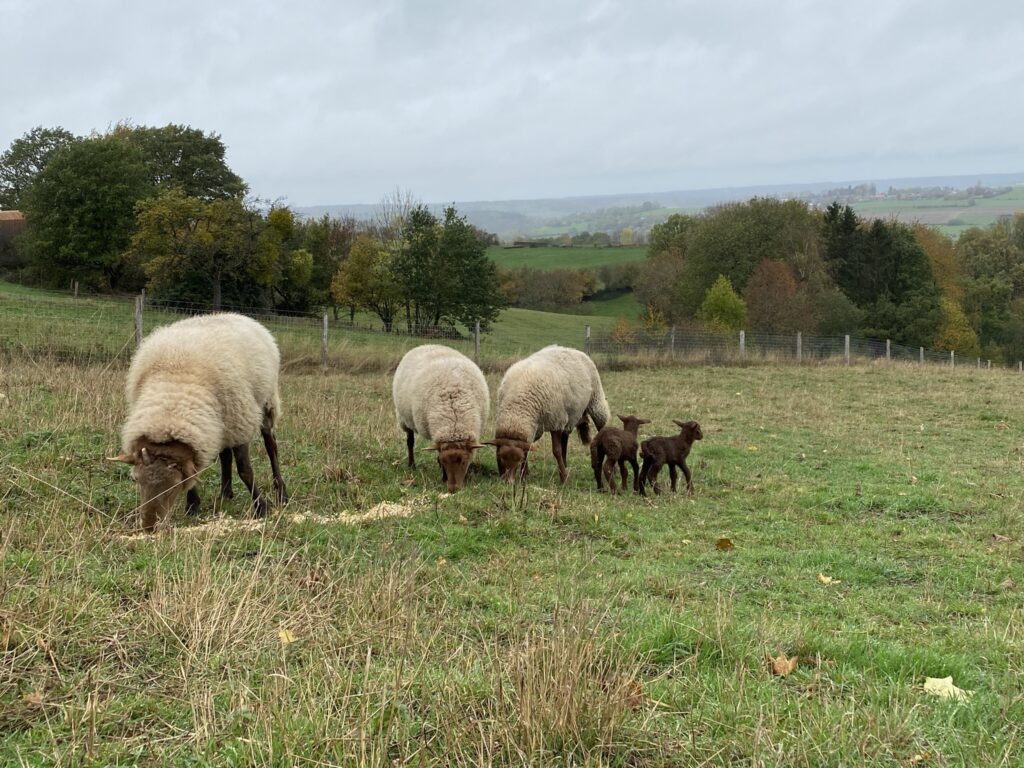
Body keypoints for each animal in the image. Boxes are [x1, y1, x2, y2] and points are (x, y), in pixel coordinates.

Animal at [108, 312, 287, 531]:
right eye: (135, 479)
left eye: (174, 485)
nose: (149, 527)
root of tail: (236, 314)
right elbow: (194, 472)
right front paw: (192, 506)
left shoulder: (241, 424)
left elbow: (245, 470)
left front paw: (262, 507)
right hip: (221, 423)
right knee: (225, 455)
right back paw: (225, 493)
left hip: (265, 404)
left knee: (271, 446)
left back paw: (281, 492)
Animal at [392, 344, 489, 492]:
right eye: (443, 461)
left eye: (464, 461)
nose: (453, 489)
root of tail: (427, 345)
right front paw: (443, 476)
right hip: (404, 419)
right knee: (410, 441)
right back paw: (411, 464)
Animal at [487, 345, 610, 483]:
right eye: (500, 458)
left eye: (518, 460)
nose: (508, 482)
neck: (517, 408)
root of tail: (571, 349)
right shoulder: (537, 426)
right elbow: (529, 449)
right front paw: (524, 476)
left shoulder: (555, 421)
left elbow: (556, 451)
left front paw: (564, 479)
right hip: (568, 414)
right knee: (565, 438)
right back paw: (564, 465)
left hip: (595, 401)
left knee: (601, 425)